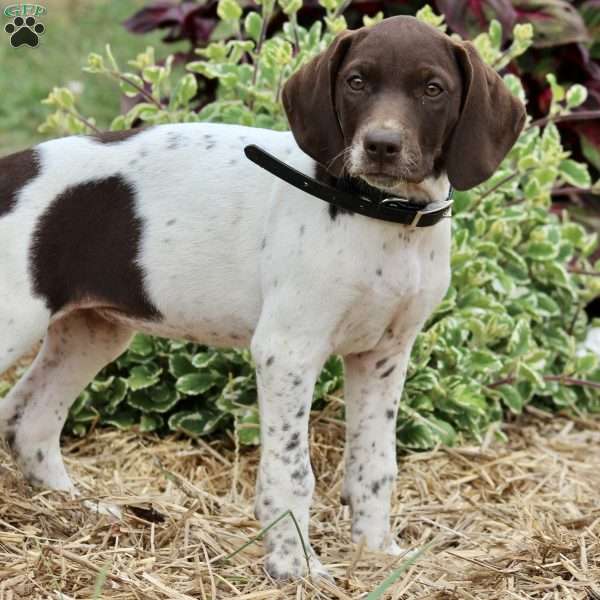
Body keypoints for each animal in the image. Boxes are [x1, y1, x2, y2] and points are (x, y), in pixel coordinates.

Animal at [0, 17, 524, 580]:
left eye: (433, 89)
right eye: (356, 82)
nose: (381, 145)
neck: (381, 215)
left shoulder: (384, 354)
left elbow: (374, 464)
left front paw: (376, 551)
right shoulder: (287, 351)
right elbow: (291, 472)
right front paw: (296, 566)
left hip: (94, 332)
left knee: (31, 423)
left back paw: (83, 509)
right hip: (17, 324)